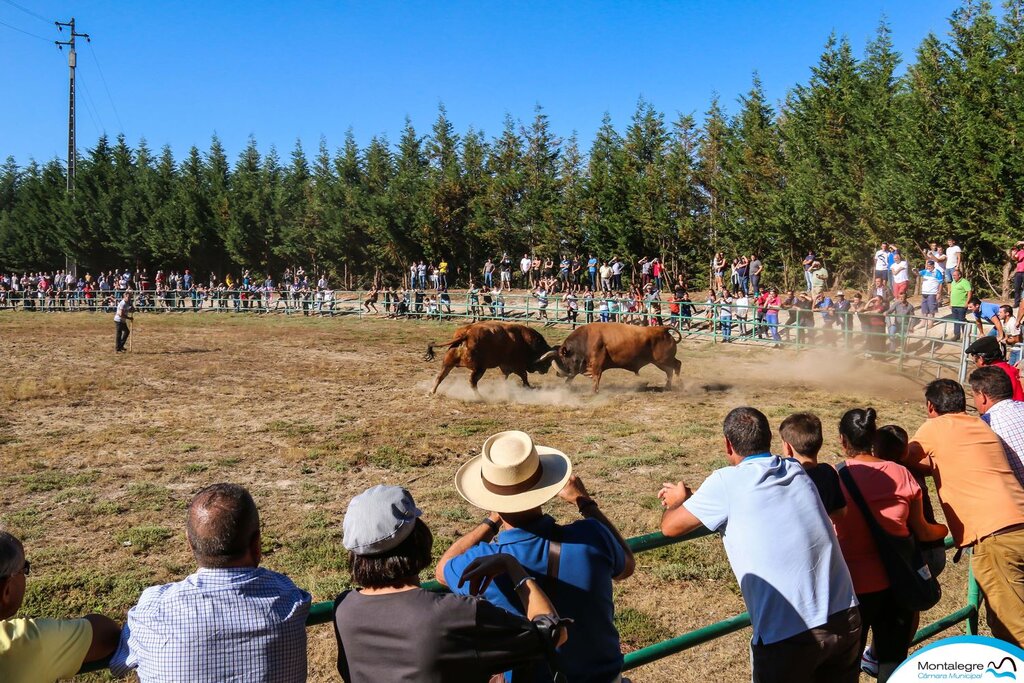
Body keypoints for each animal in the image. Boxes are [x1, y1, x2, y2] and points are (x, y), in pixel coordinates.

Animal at [423, 321, 557, 395]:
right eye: (546, 363)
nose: (545, 371)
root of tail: (466, 334)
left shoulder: (505, 365)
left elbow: (505, 376)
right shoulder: (516, 365)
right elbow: (524, 376)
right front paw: (529, 387)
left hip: (448, 363)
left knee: (440, 376)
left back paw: (431, 391)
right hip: (479, 368)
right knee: (472, 382)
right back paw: (480, 397)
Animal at [548, 323, 684, 393]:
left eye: (563, 356)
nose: (558, 373)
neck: (586, 339)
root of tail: (663, 329)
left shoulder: (596, 364)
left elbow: (596, 377)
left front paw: (594, 391)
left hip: (663, 360)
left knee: (677, 365)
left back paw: (679, 385)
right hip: (660, 362)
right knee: (670, 371)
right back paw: (667, 387)